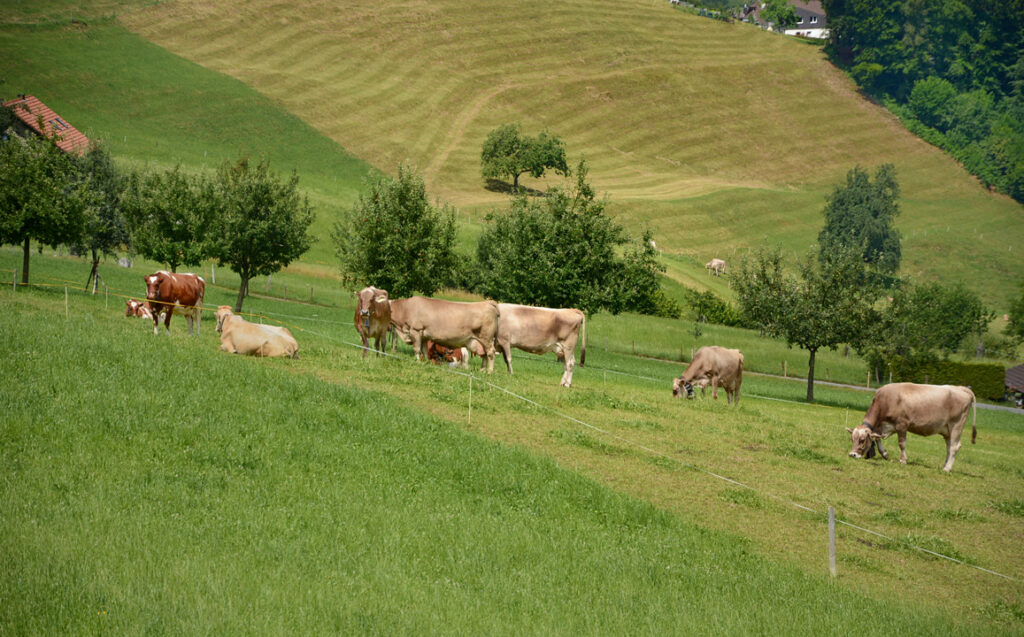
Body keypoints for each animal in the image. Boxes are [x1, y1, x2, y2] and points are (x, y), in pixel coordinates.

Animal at [847, 383, 976, 473]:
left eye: (862, 440)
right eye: (852, 439)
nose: (852, 454)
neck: (888, 400)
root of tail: (960, 388)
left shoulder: (902, 425)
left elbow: (902, 443)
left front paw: (903, 460)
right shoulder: (886, 426)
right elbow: (877, 437)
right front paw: (884, 454)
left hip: (956, 426)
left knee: (955, 447)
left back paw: (947, 469)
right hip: (947, 430)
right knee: (949, 447)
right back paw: (945, 465)